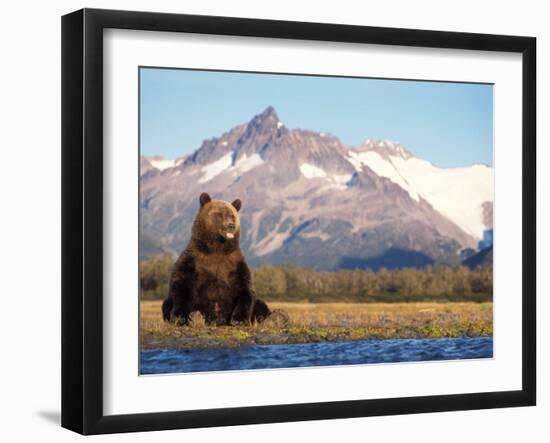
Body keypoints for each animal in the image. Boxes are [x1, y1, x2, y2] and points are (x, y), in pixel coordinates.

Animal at [162, 192, 274, 326]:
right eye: (219, 214)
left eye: (232, 215)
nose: (231, 226)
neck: (217, 248)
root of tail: (216, 320)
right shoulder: (194, 260)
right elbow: (180, 283)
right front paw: (180, 317)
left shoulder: (234, 264)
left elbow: (245, 289)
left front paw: (239, 319)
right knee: (166, 304)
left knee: (261, 305)